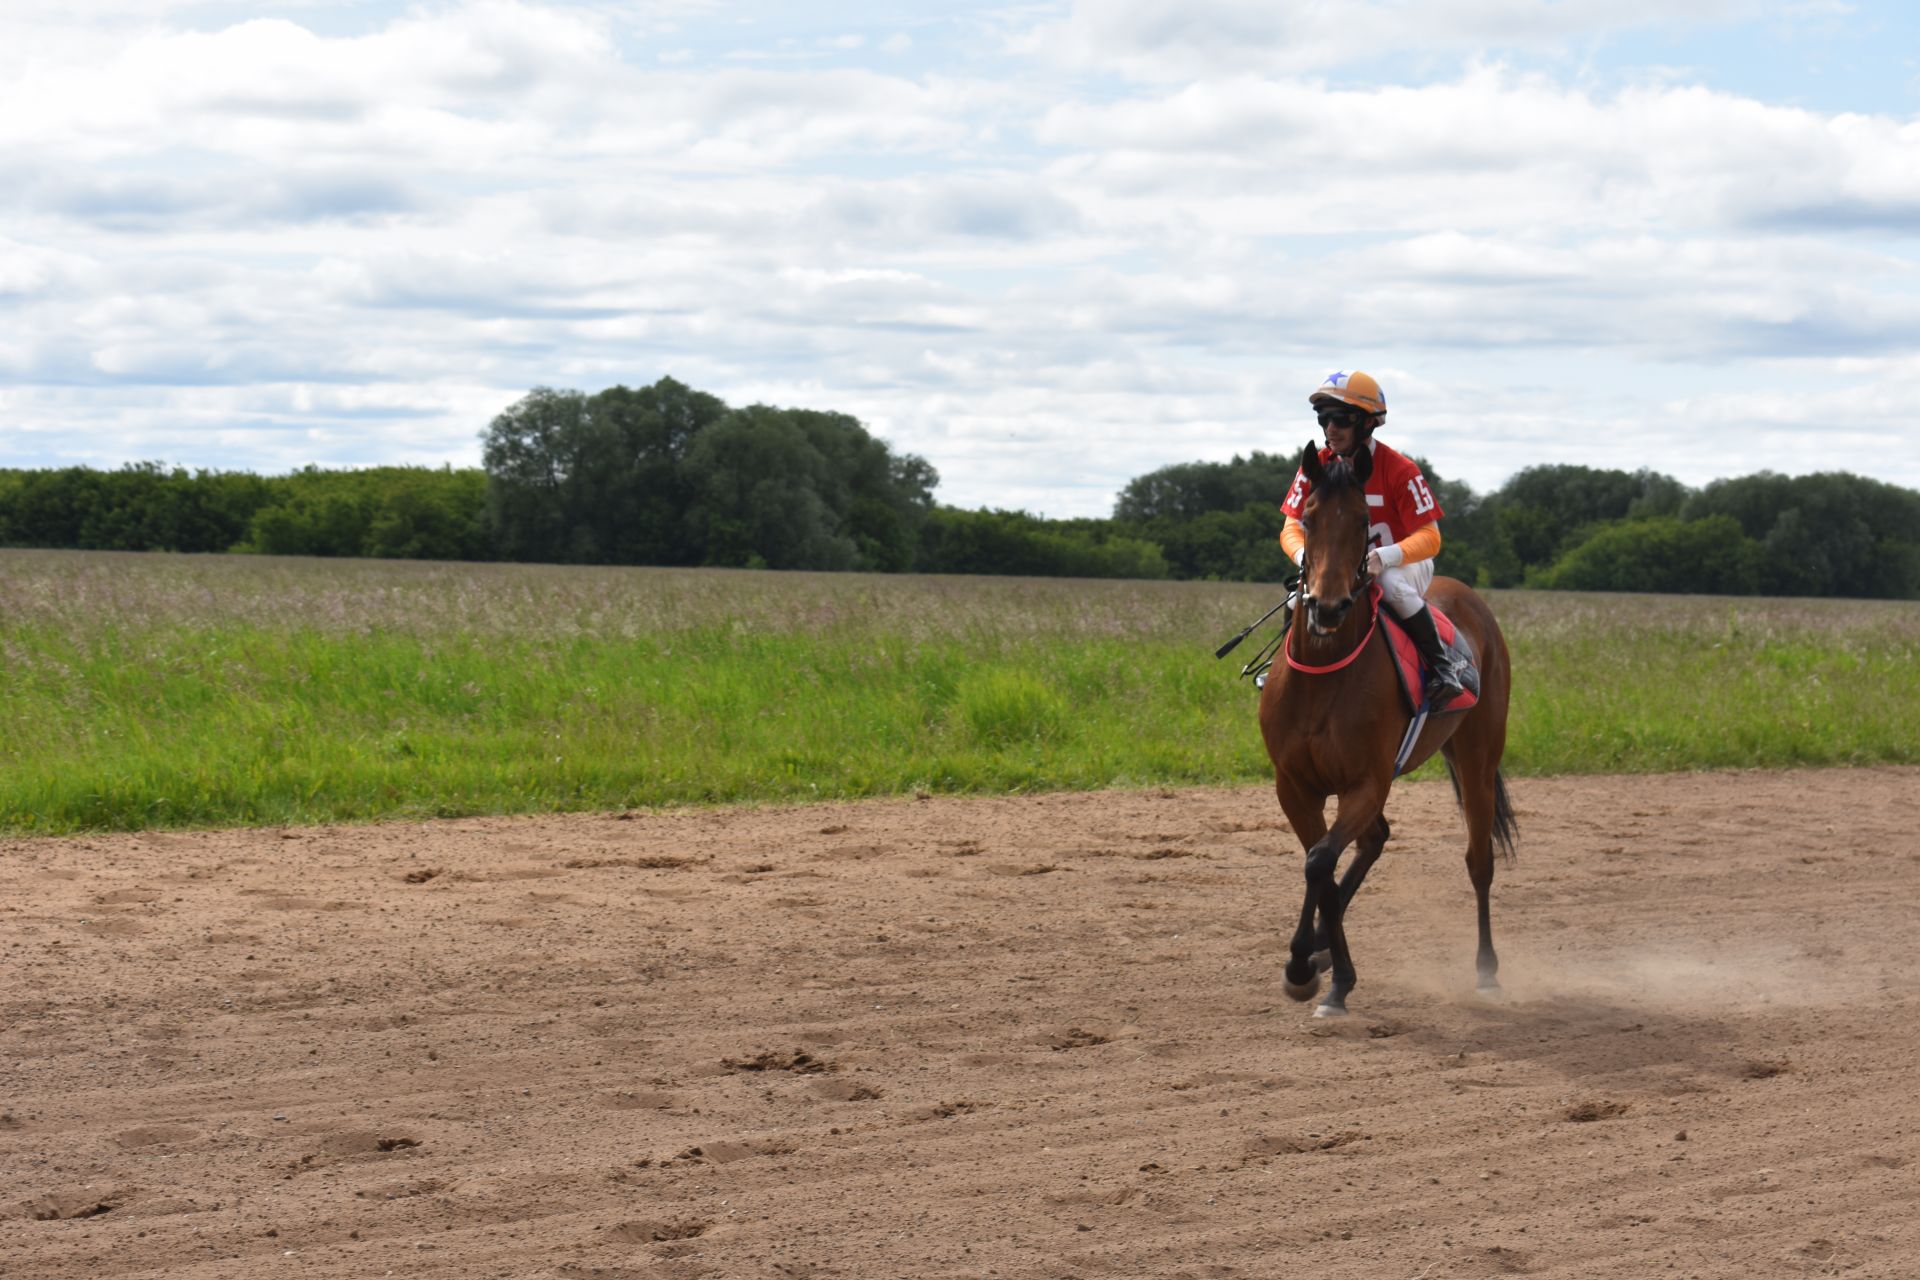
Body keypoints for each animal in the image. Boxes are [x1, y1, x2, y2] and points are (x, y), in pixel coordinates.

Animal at [1259, 443, 1512, 1020]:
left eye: (1361, 521)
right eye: (1308, 517)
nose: (1328, 606)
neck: (1323, 677)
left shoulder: (1366, 781)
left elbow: (1321, 861)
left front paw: (1318, 971)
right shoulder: (1295, 785)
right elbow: (1321, 866)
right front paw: (1317, 967)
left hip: (1477, 756)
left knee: (1479, 860)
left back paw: (1487, 970)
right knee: (1373, 839)